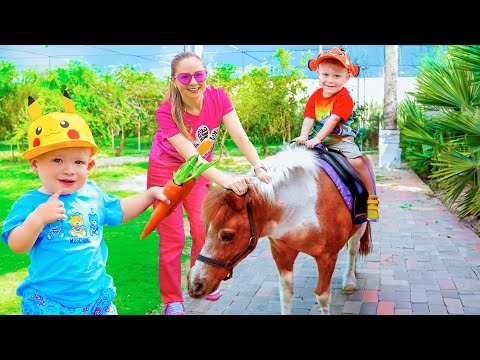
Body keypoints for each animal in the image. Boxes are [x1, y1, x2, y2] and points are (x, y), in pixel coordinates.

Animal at [186, 142, 374, 314]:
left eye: (227, 236)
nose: (195, 284)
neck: (299, 206)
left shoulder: (327, 257)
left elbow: (322, 296)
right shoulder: (281, 254)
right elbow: (286, 294)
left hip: (360, 226)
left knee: (353, 249)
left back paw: (349, 280)